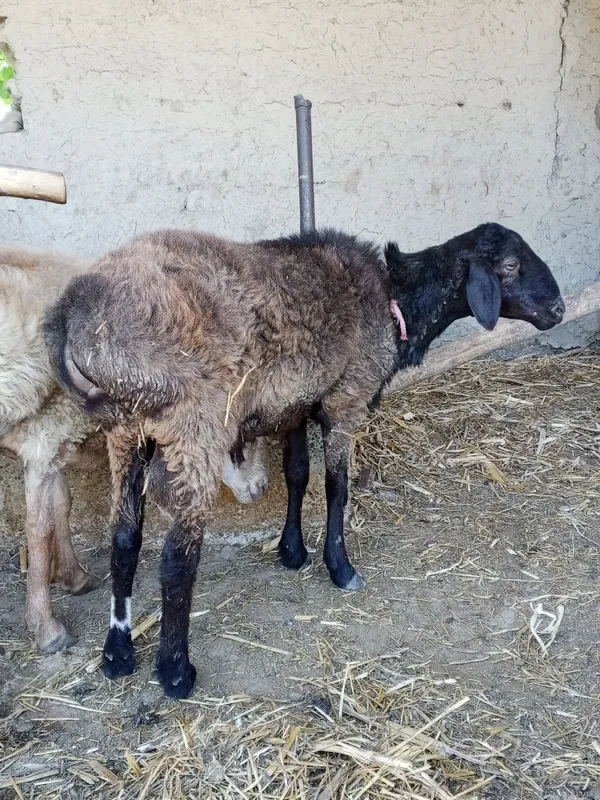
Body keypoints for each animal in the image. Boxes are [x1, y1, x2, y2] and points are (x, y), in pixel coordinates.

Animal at [0, 244, 269, 655]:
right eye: (245, 428)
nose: (262, 486)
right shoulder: (44, 438)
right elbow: (39, 527)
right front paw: (46, 627)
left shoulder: (54, 437)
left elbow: (62, 505)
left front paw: (74, 577)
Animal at [43, 223, 564, 698]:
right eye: (510, 266)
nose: (558, 309)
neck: (395, 300)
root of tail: (71, 316)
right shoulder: (346, 398)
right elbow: (336, 486)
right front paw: (341, 567)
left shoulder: (295, 403)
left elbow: (296, 475)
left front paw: (292, 552)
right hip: (194, 422)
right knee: (176, 556)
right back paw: (174, 671)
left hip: (125, 429)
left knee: (124, 538)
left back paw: (117, 653)